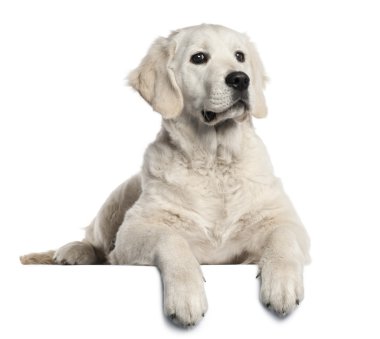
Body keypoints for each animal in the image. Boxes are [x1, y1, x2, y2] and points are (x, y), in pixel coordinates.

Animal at [20, 23, 310, 326]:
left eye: (239, 56)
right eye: (199, 58)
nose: (241, 79)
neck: (215, 162)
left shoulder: (287, 221)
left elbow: (283, 238)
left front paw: (282, 284)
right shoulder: (134, 230)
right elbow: (172, 240)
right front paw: (186, 296)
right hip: (117, 198)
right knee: (95, 241)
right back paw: (73, 252)